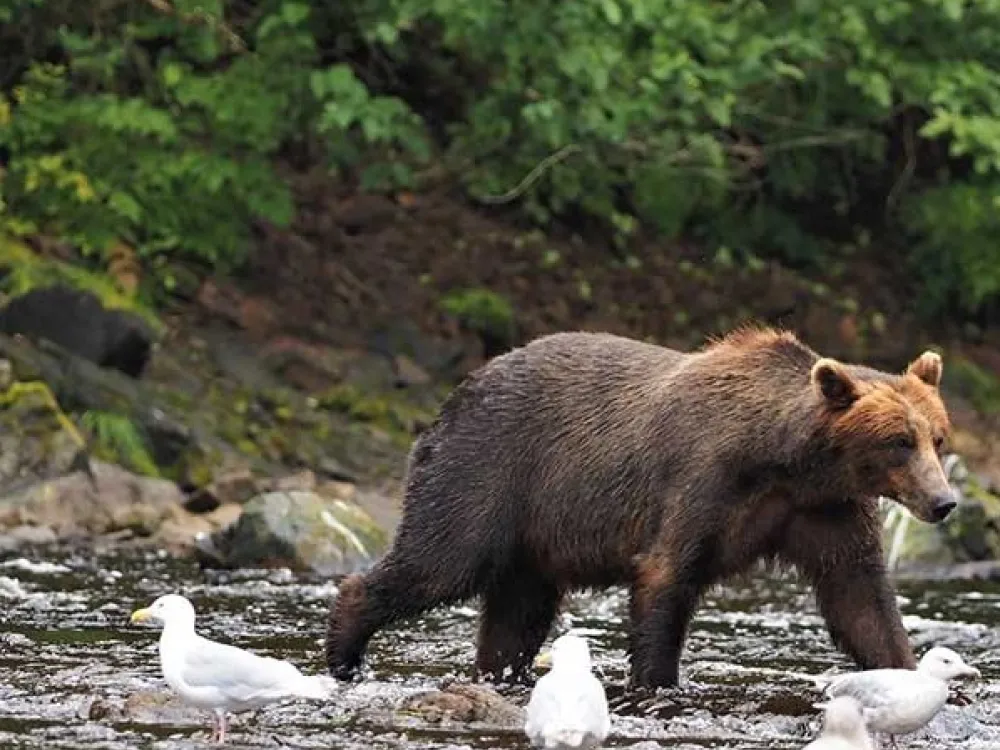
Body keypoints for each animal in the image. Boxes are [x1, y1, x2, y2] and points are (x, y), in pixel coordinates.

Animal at [325, 326, 955, 689]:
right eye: (899, 440)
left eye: (938, 437)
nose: (944, 501)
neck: (784, 458)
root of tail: (460, 387)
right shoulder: (703, 481)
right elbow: (666, 575)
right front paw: (658, 683)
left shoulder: (822, 509)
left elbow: (860, 597)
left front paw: (907, 669)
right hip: (486, 469)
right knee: (441, 560)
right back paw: (344, 650)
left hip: (534, 533)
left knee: (516, 612)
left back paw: (496, 672)